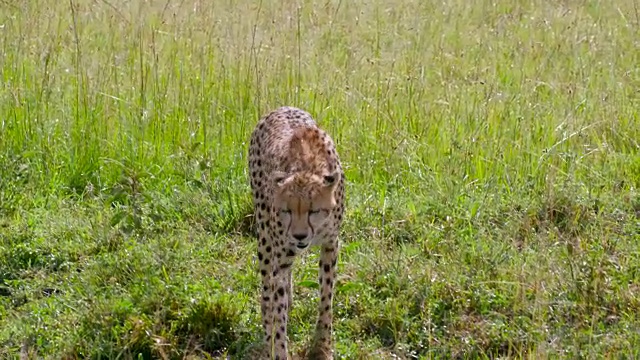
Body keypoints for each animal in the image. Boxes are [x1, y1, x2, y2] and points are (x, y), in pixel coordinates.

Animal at [248, 105, 344, 358]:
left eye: (314, 210)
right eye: (287, 210)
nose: (299, 236)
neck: (307, 167)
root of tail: (281, 107)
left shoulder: (331, 243)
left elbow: (326, 296)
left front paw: (322, 345)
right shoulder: (281, 254)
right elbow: (277, 307)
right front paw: (279, 348)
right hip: (265, 235)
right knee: (267, 287)